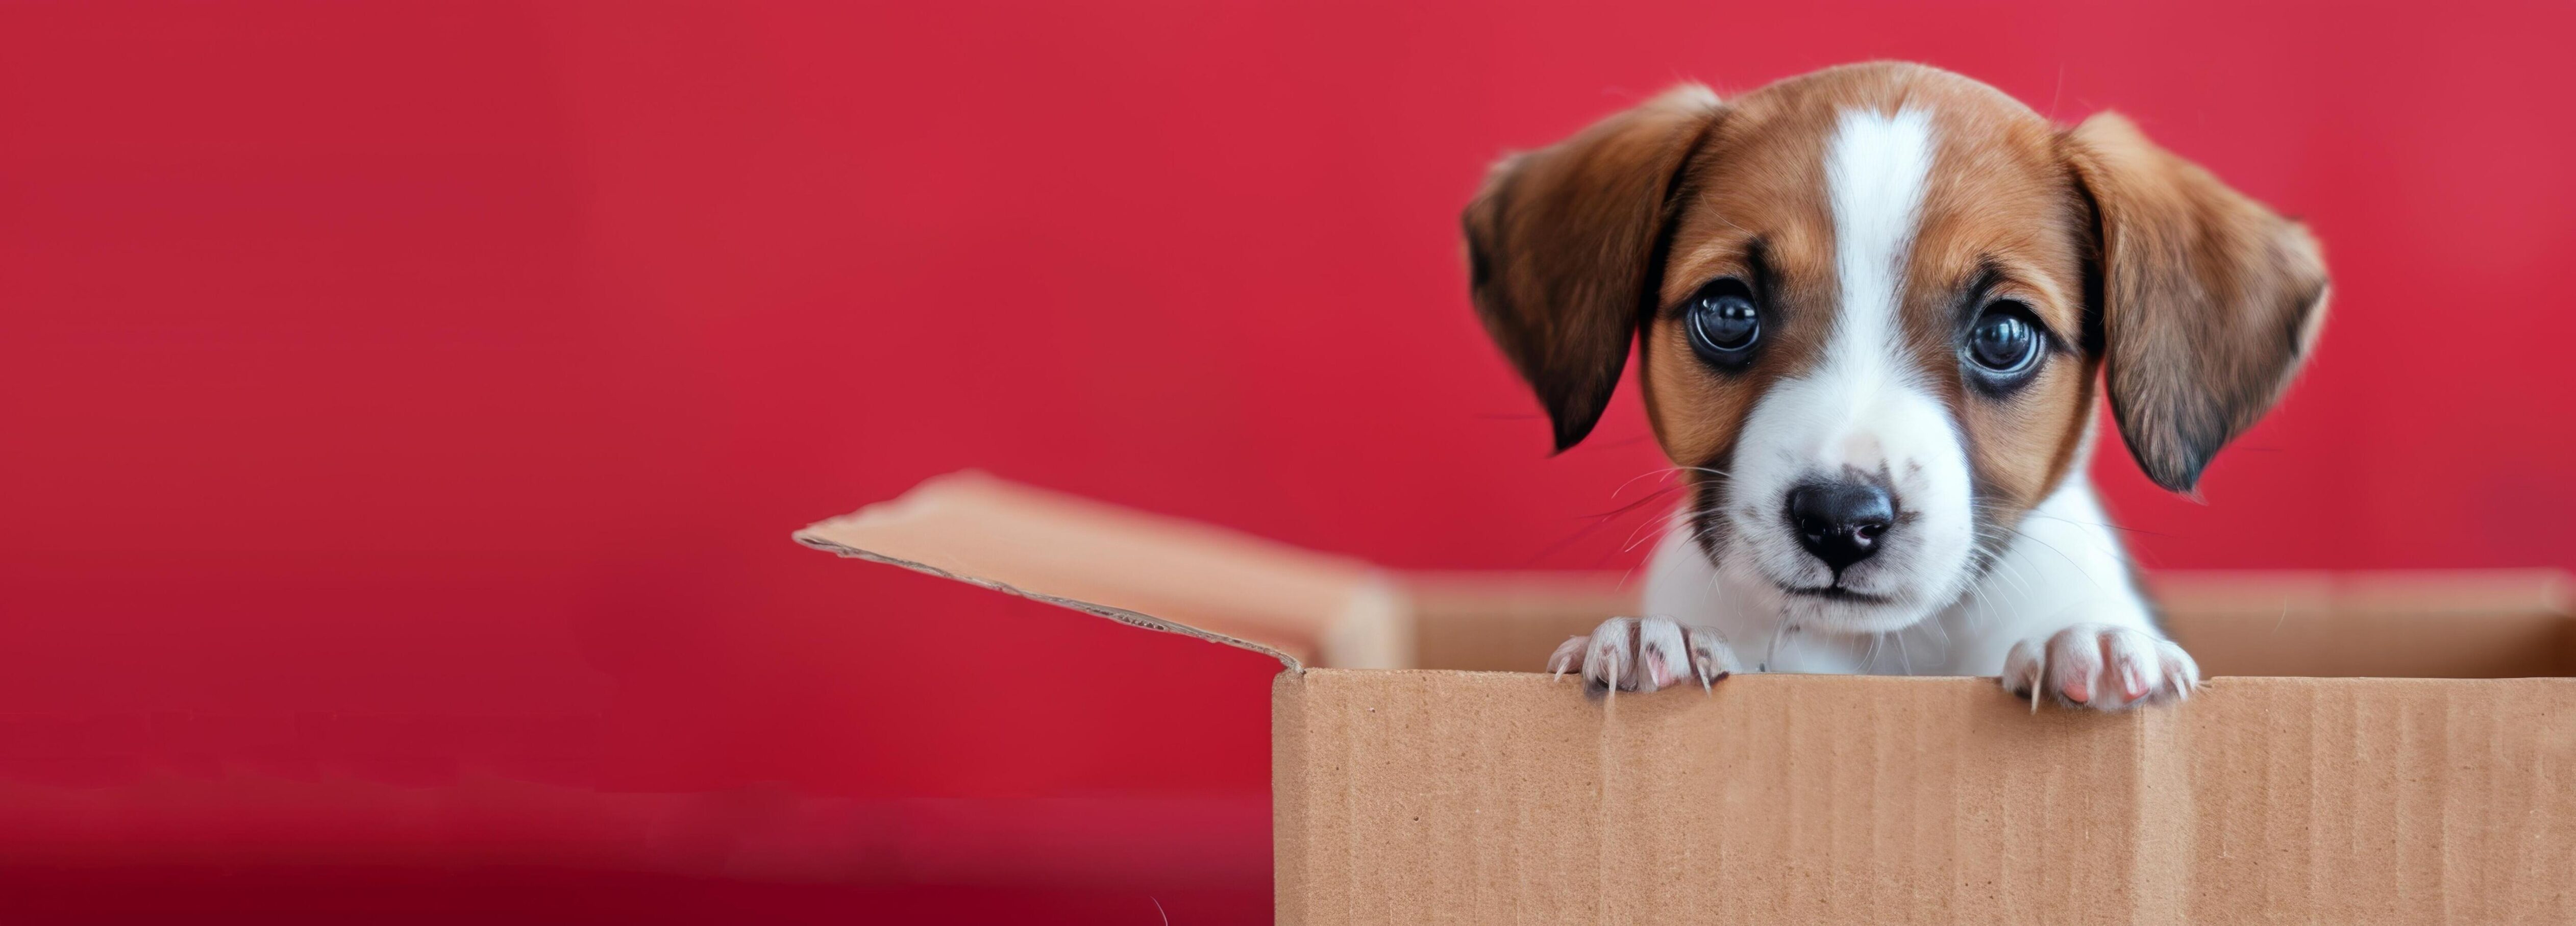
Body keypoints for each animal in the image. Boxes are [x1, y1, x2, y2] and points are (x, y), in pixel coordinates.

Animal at [1463, 61, 2329, 710]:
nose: (1840, 521)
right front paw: (1659, 640)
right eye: (1728, 312)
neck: (1878, 653)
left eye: (2005, 335)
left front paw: (2089, 644)